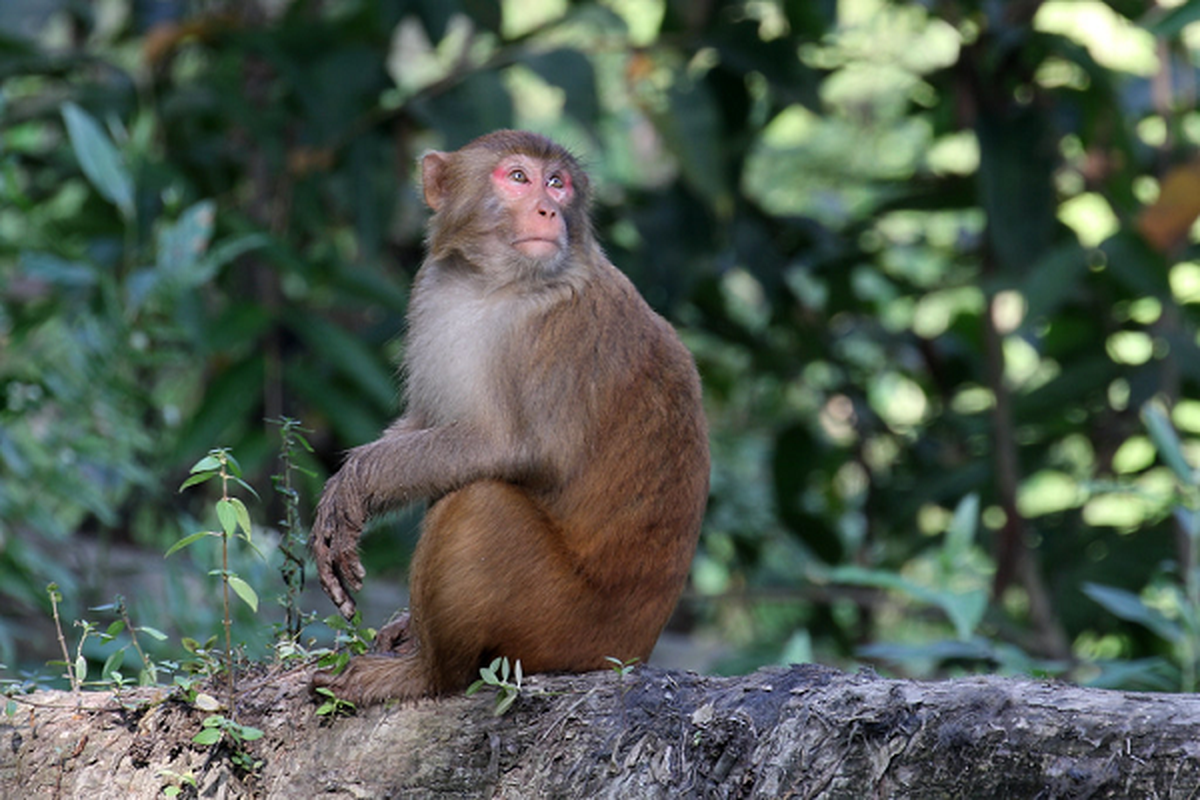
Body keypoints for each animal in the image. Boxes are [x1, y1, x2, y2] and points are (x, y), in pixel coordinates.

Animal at [304, 131, 710, 705]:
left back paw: (425, 674)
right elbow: (425, 421)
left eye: (557, 183)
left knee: (479, 502)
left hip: (558, 627)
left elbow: (512, 449)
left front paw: (353, 484)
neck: (495, 286)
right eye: (519, 177)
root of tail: (633, 652)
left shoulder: (557, 329)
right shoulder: (434, 290)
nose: (548, 209)